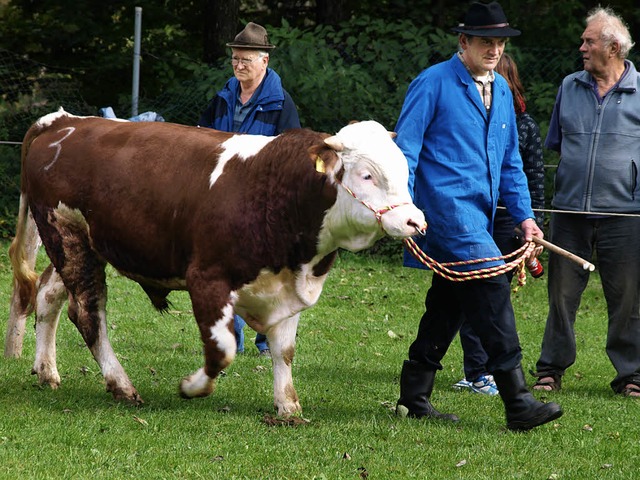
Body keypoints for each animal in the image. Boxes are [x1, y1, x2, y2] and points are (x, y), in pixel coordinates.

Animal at [8, 109, 424, 416]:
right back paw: (121, 385)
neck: (277, 191)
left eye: (405, 172)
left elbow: (284, 350)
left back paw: (46, 370)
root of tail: (63, 121)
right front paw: (192, 387)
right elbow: (222, 349)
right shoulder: (207, 280)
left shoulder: (287, 288)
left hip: (82, 245)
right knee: (88, 313)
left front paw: (288, 406)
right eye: (367, 174)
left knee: (48, 294)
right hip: (67, 237)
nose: (414, 221)